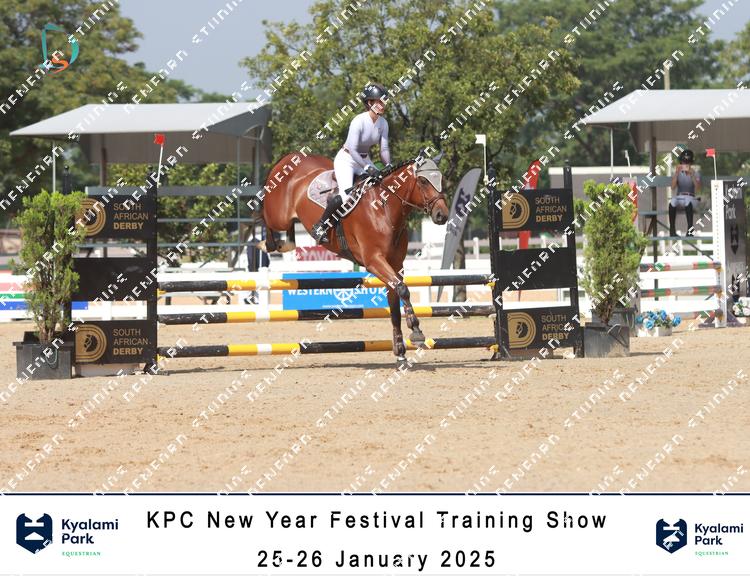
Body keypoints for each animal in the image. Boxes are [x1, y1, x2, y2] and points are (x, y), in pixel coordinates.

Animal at [261, 151, 450, 360]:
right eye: (423, 181)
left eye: (441, 179)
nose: (442, 215)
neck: (384, 208)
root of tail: (290, 157)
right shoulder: (374, 260)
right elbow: (402, 290)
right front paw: (416, 331)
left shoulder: (395, 264)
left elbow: (395, 302)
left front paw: (400, 350)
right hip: (278, 216)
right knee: (264, 214)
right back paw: (270, 242)